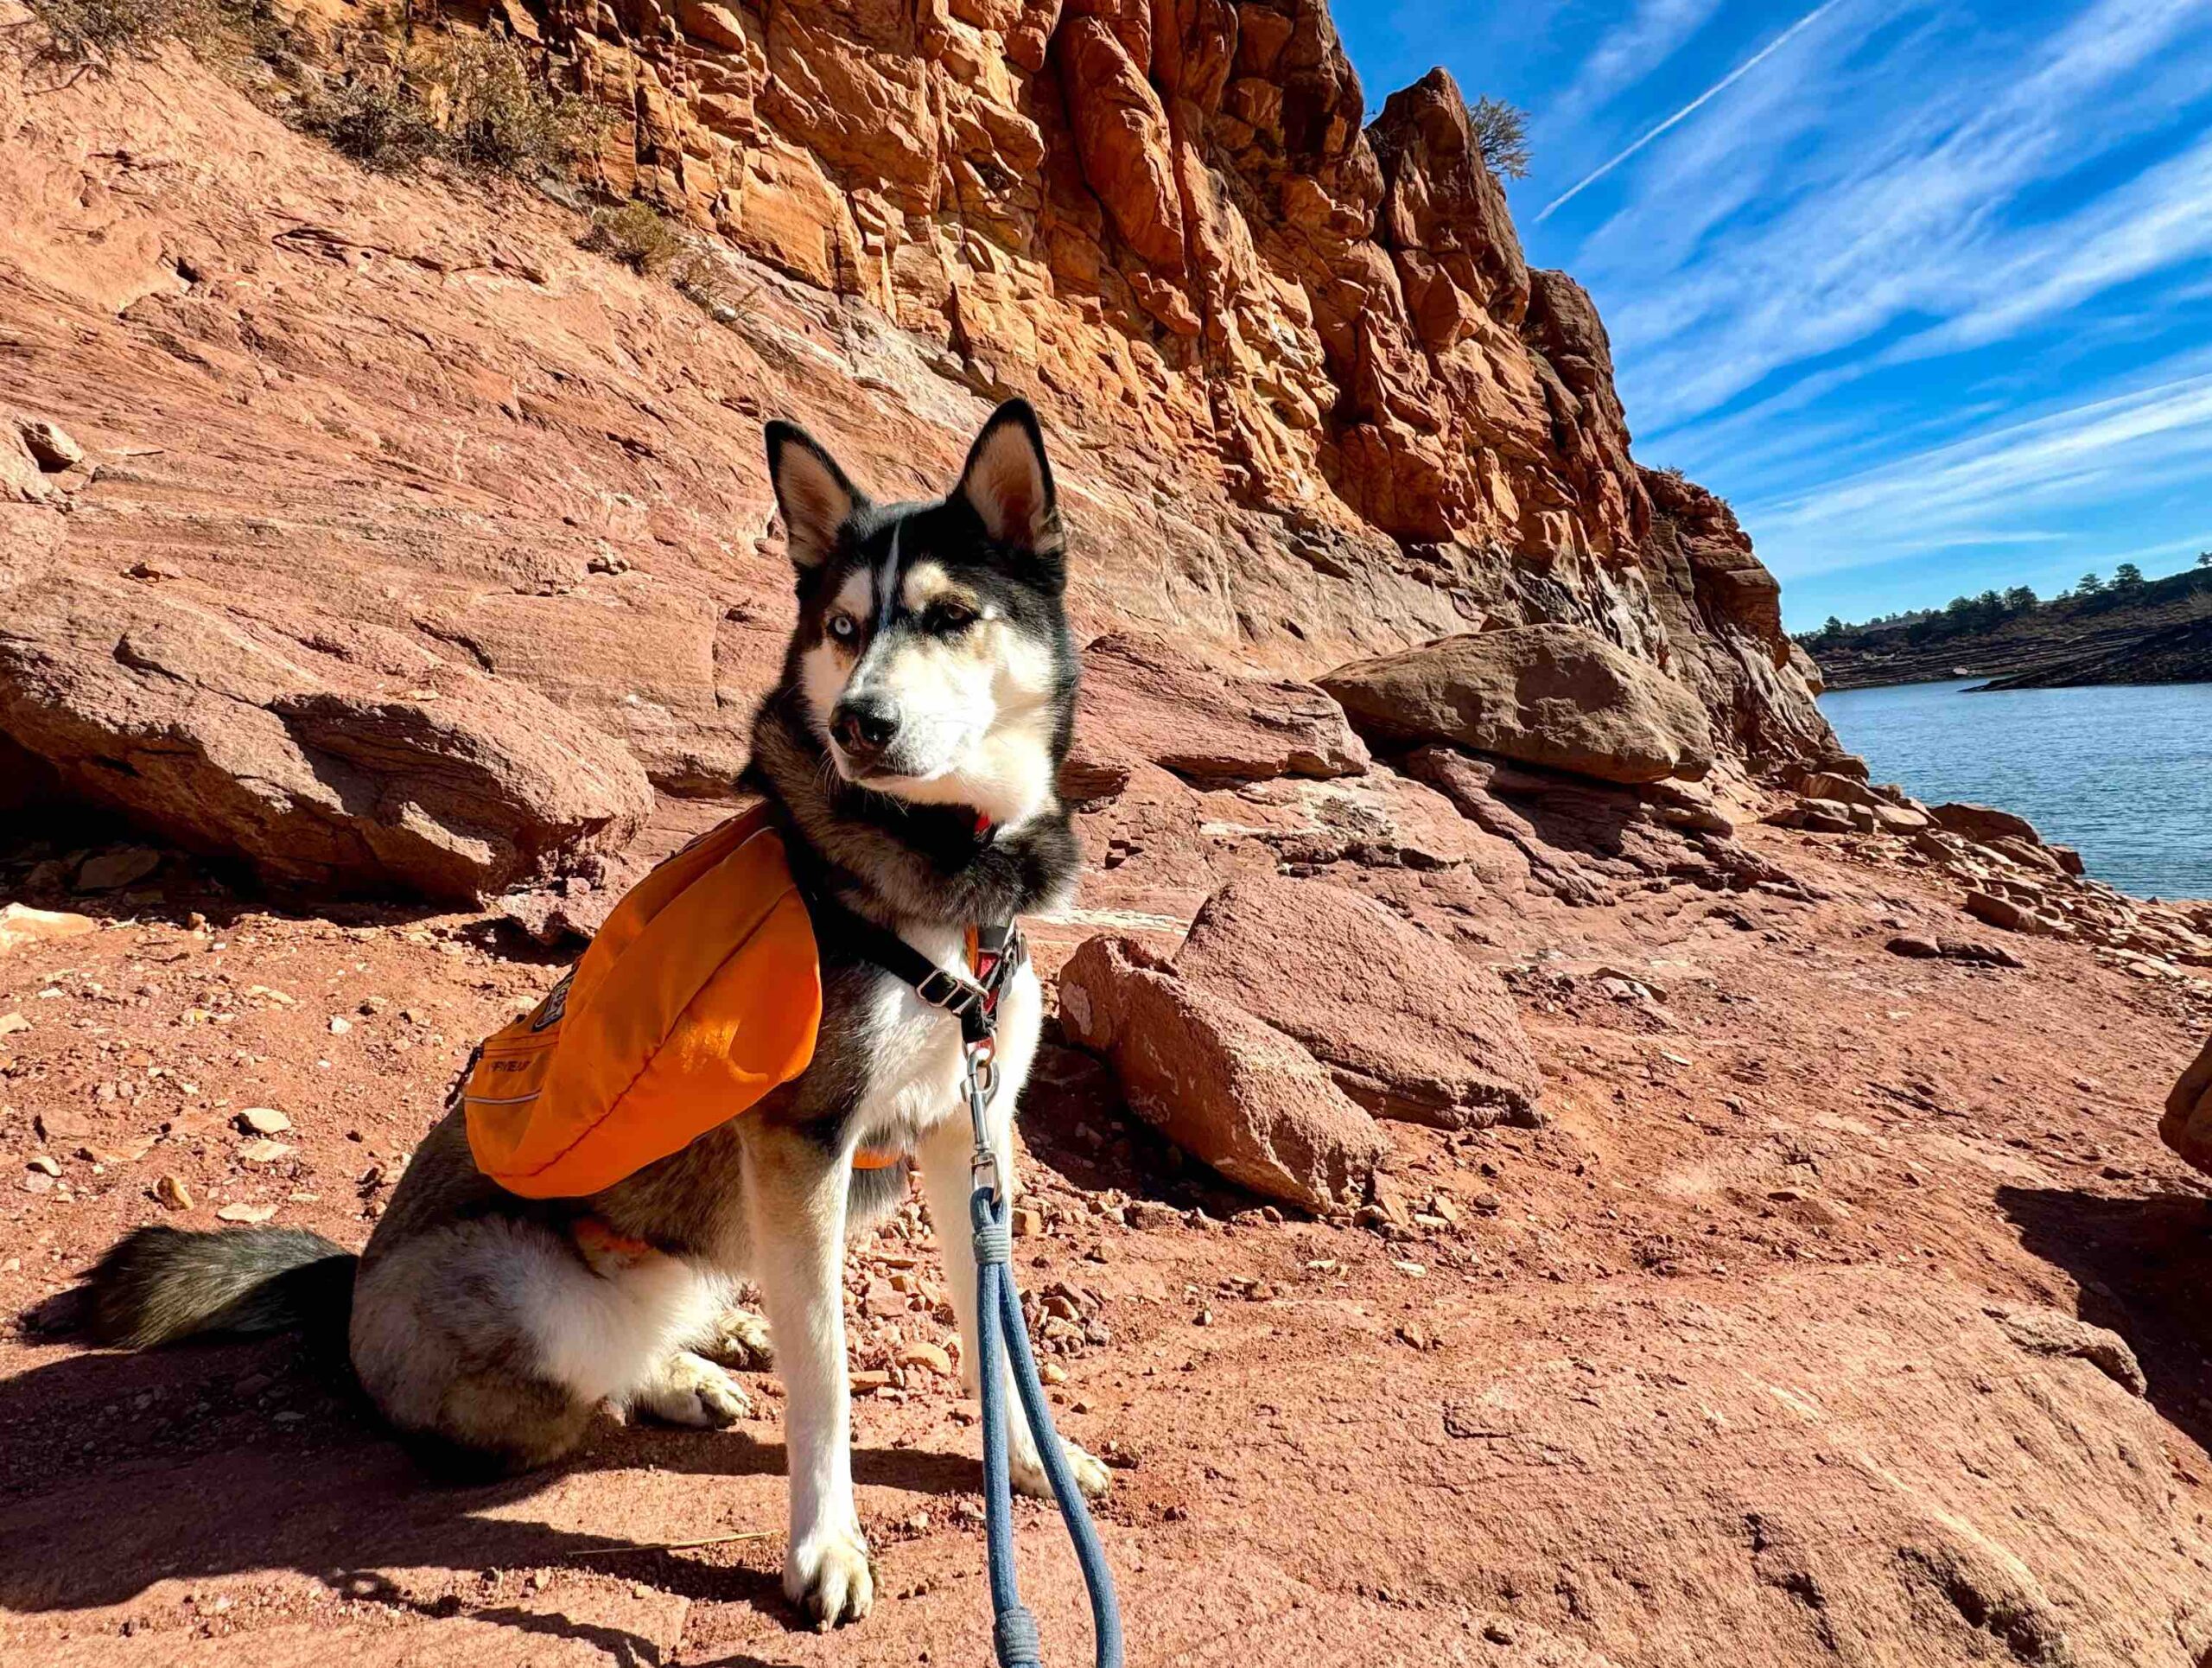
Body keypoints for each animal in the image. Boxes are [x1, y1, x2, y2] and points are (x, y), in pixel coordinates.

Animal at [81, 396, 1106, 1619]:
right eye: (846, 627)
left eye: (950, 616)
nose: (861, 722)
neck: (946, 872)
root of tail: (350, 1282)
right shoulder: (801, 1143)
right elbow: (827, 1372)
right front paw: (825, 1542)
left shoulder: (964, 1129)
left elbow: (990, 1328)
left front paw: (1035, 1461)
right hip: (538, 1291)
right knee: (588, 1375)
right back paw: (673, 1376)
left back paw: (717, 1338)